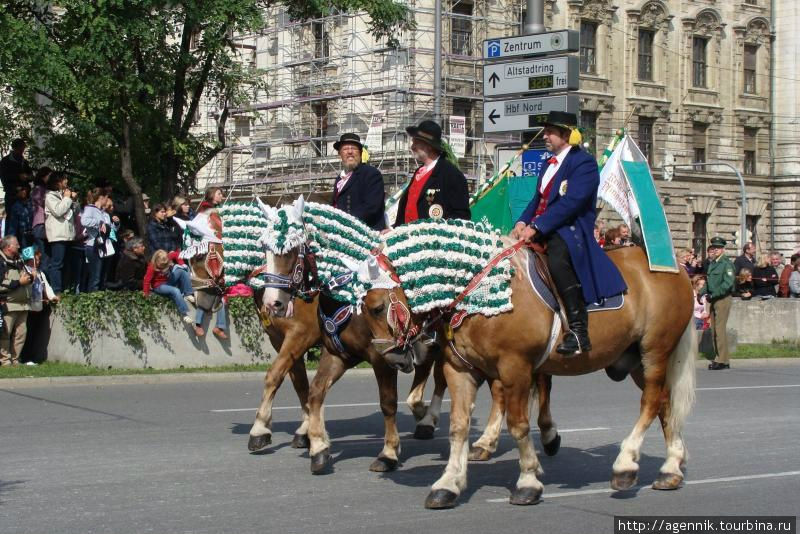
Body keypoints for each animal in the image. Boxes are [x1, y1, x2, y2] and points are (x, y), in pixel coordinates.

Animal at [360, 221, 696, 510]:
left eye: (376, 308)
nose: (391, 358)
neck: (483, 295)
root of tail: (676, 266)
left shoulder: (515, 368)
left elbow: (519, 425)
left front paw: (528, 481)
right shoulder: (459, 370)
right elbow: (458, 426)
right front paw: (448, 483)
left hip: (655, 351)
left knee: (650, 402)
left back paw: (626, 464)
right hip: (637, 360)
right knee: (664, 404)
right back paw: (671, 468)